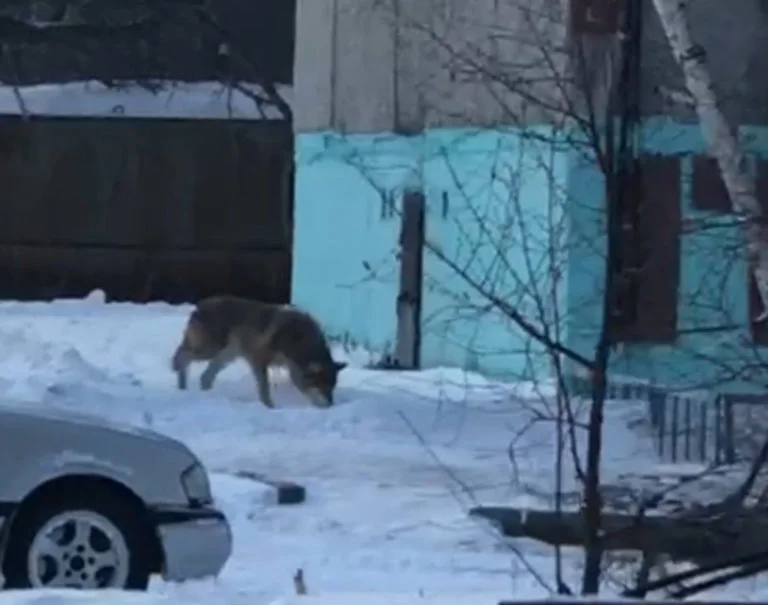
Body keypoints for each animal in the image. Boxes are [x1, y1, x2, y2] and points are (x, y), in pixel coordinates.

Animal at [171, 295, 347, 408]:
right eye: (322, 386)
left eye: (332, 387)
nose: (331, 405)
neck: (299, 340)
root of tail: (198, 307)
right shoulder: (258, 359)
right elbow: (264, 387)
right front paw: (269, 407)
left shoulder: (289, 367)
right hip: (210, 350)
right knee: (181, 357)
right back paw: (182, 387)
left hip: (225, 356)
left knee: (204, 377)